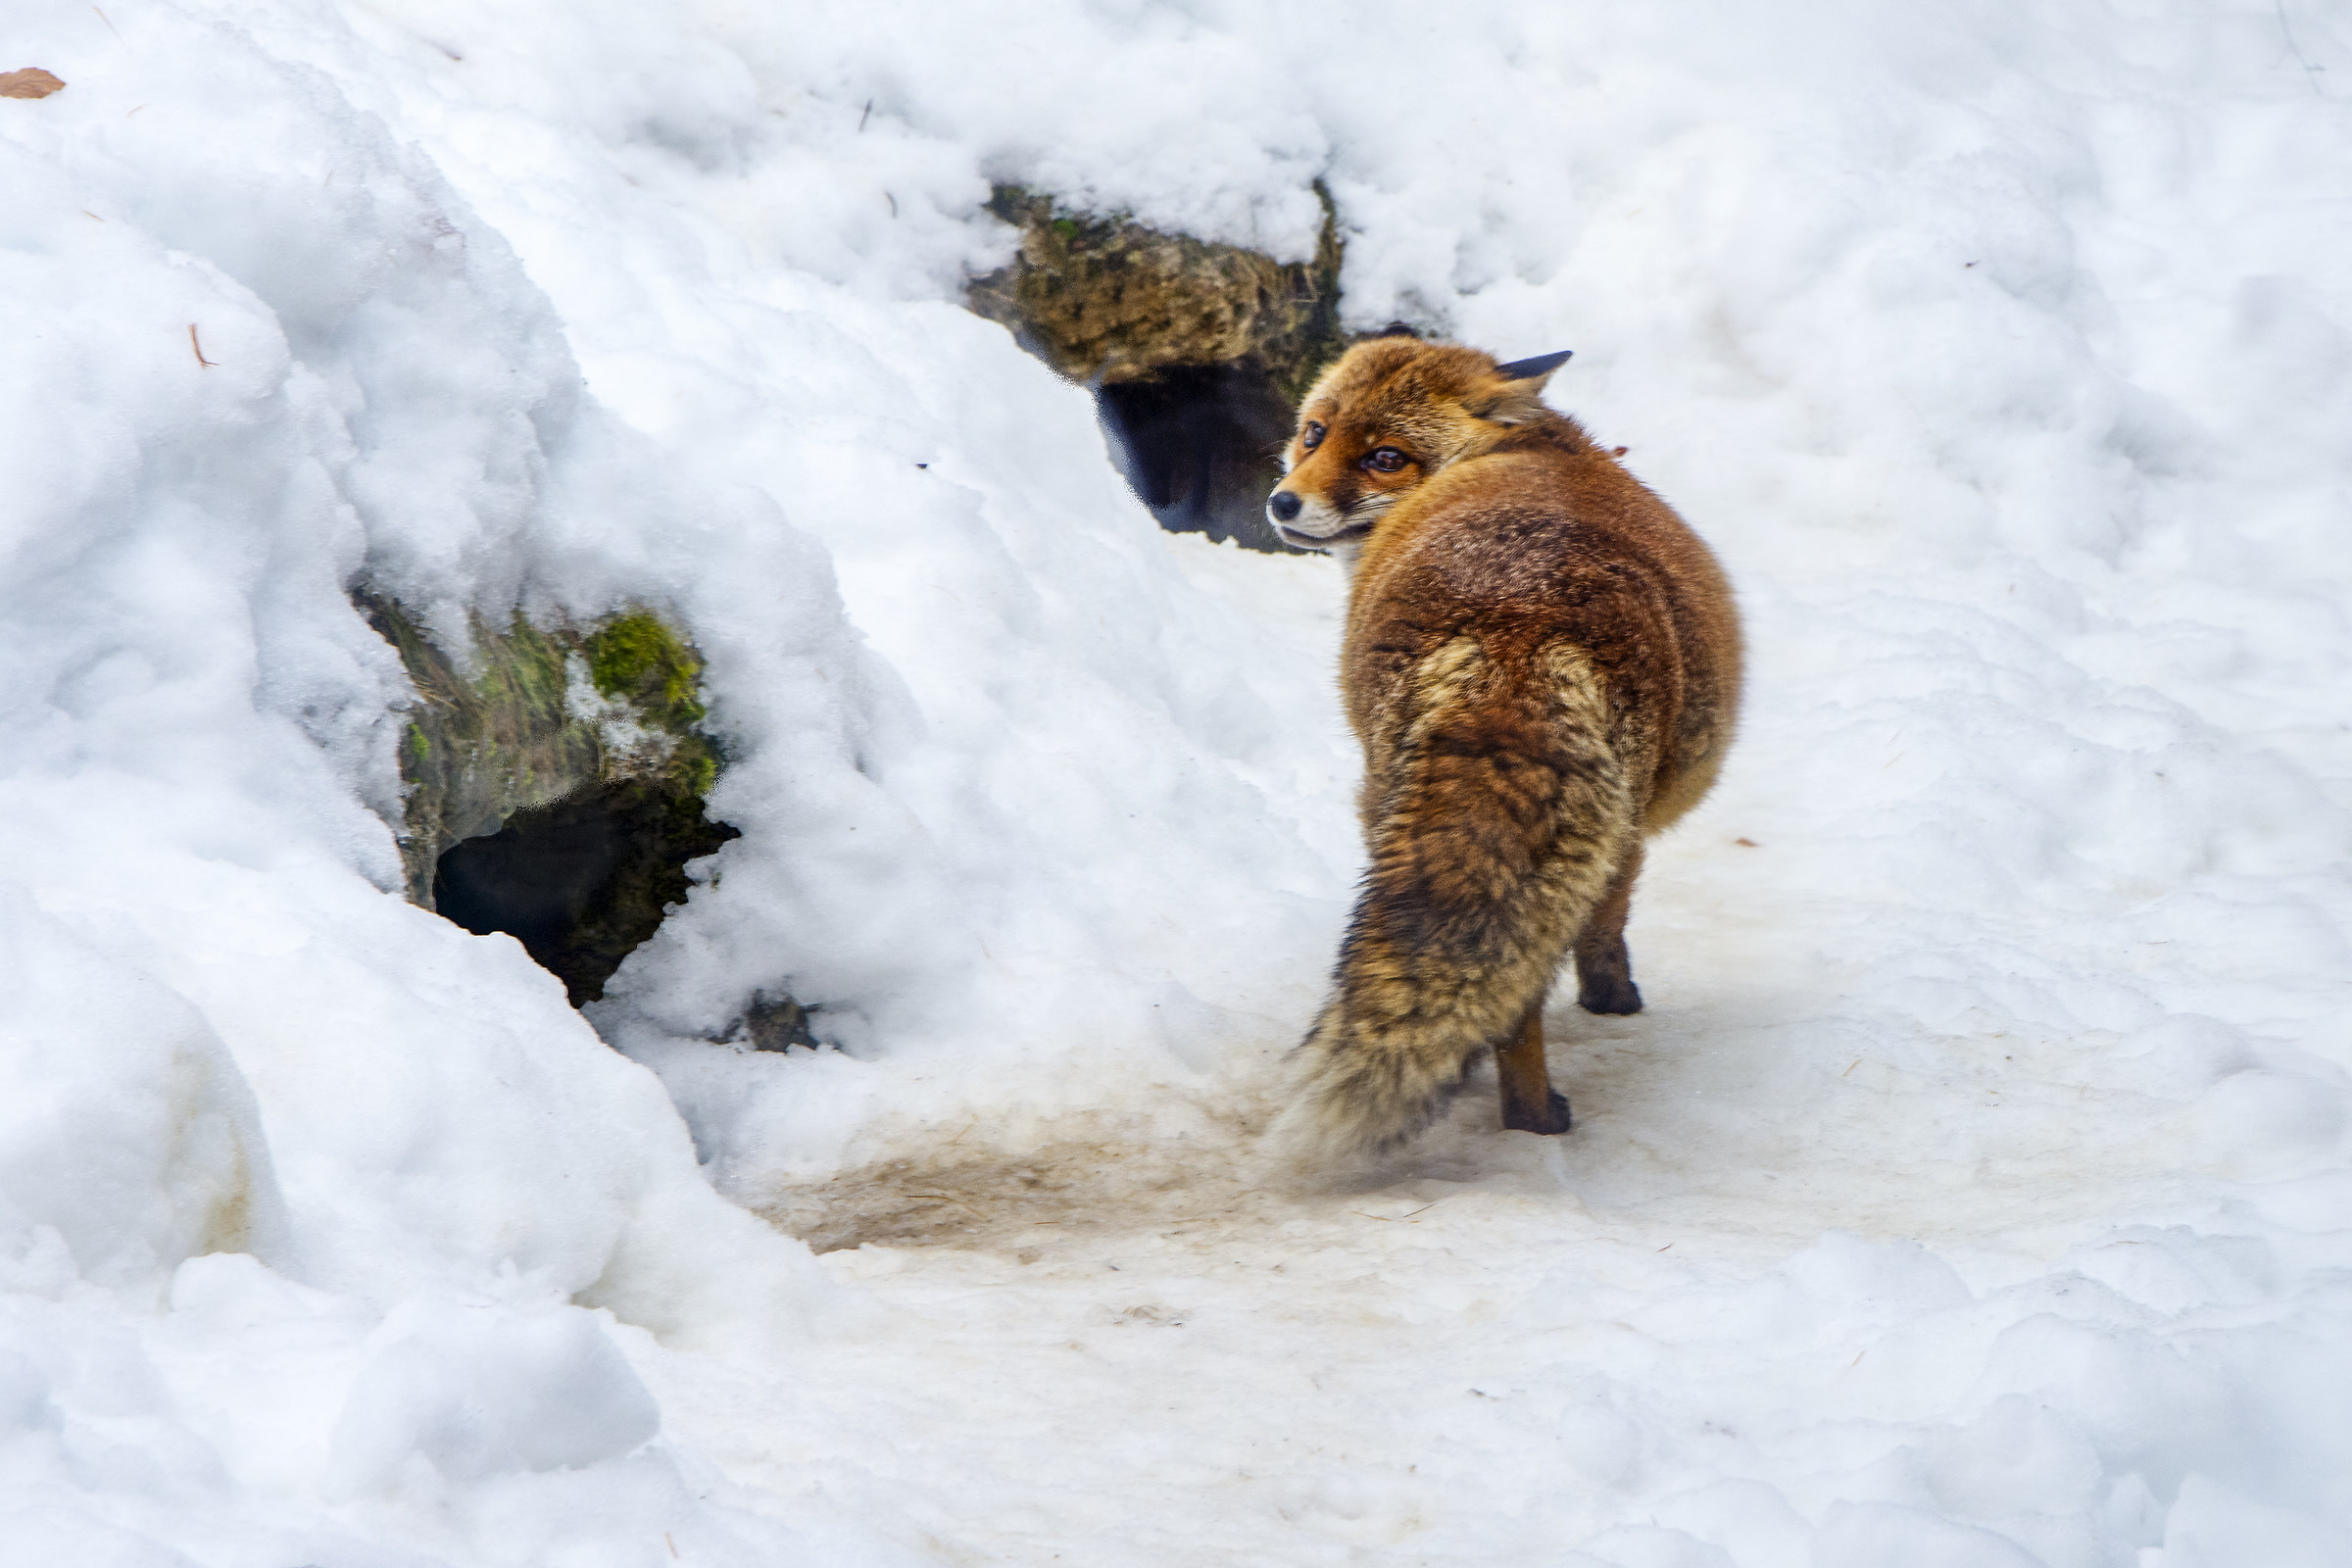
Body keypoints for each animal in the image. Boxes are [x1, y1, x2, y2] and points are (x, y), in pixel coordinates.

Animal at [1264, 337, 1742, 1159]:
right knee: (1519, 997)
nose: (1283, 502)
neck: (1519, 448)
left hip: (1388, 806)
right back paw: (1534, 1119)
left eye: (1385, 457)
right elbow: (1608, 925)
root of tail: (1518, 621)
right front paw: (1612, 997)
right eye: (1316, 434)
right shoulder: (1627, 833)